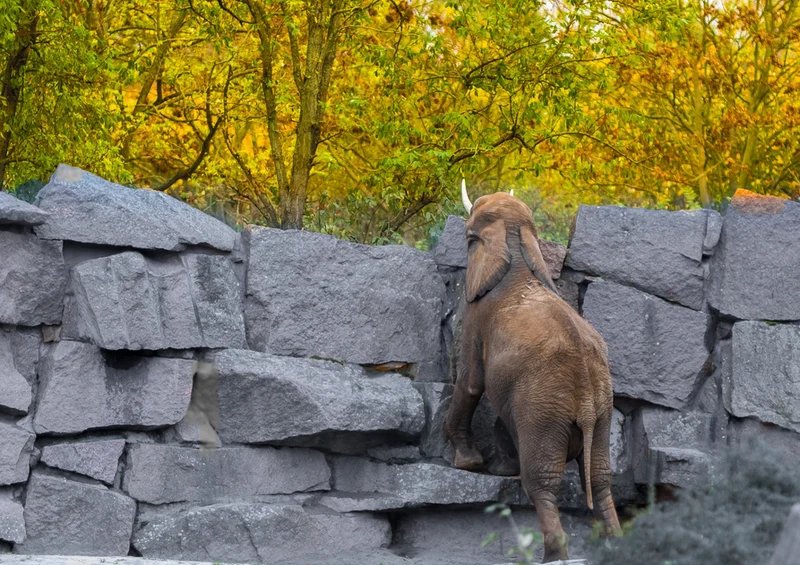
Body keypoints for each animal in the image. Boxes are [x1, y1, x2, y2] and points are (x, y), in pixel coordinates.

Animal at [444, 181, 622, 562]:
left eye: (469, 239)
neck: (516, 248)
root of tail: (586, 404)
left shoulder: (477, 315)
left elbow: (471, 382)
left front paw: (468, 464)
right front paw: (495, 468)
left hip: (545, 411)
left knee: (542, 481)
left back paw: (553, 553)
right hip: (602, 410)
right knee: (600, 477)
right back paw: (616, 543)